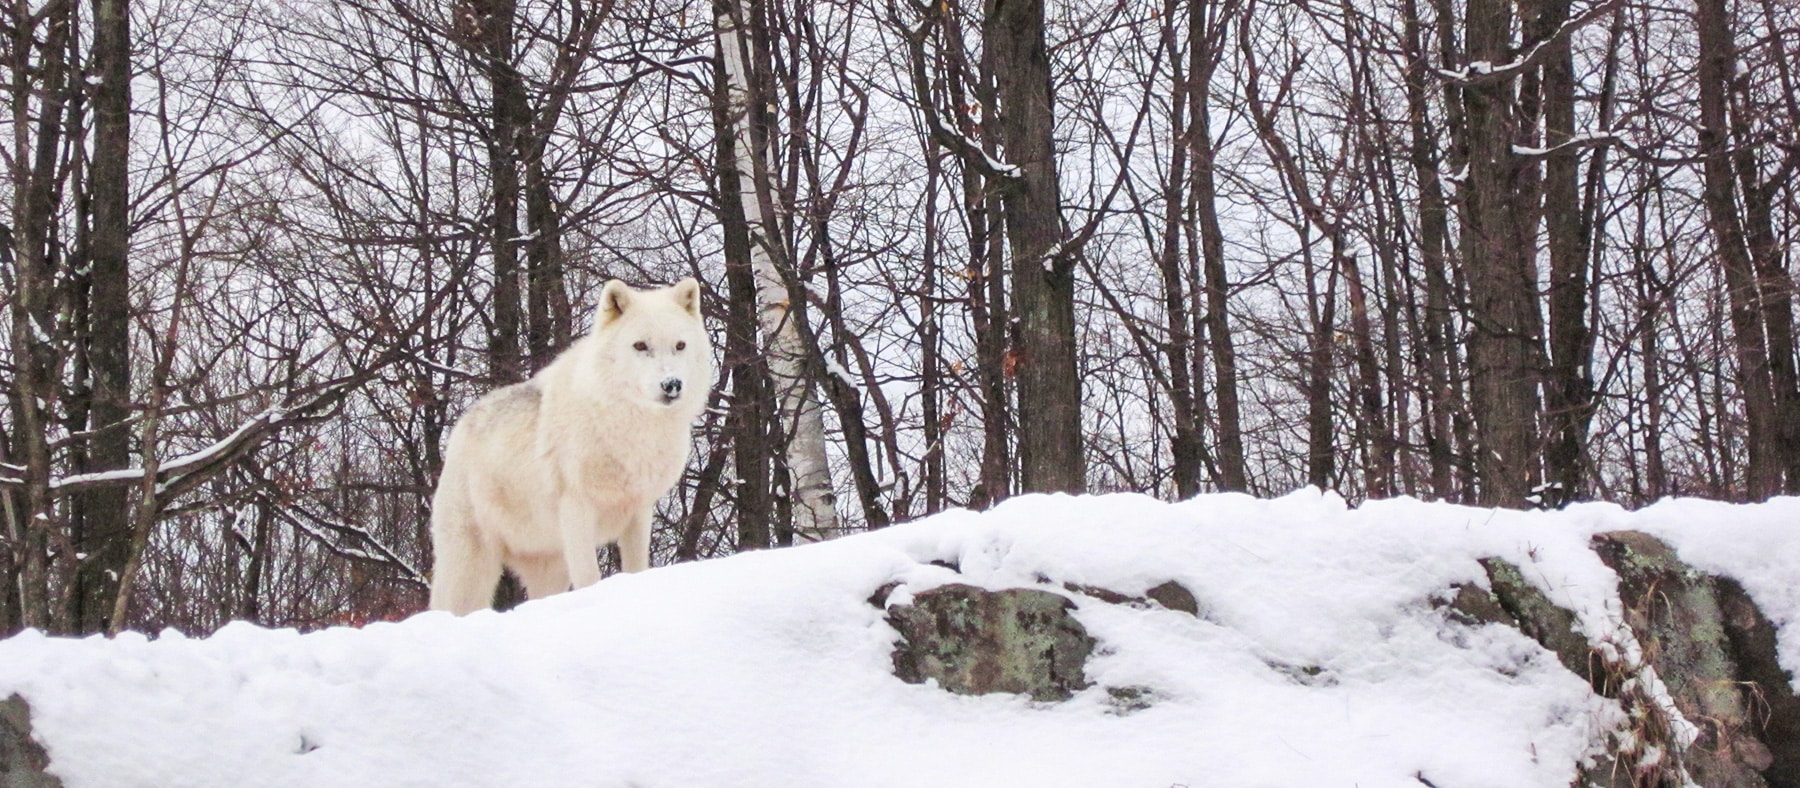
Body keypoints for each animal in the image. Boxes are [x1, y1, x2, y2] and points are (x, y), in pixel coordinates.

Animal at [428, 278, 712, 614]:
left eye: (680, 346)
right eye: (641, 346)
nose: (672, 385)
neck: (629, 429)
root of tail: (462, 424)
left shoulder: (639, 511)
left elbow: (636, 569)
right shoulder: (577, 509)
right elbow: (589, 576)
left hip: (549, 568)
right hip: (470, 566)